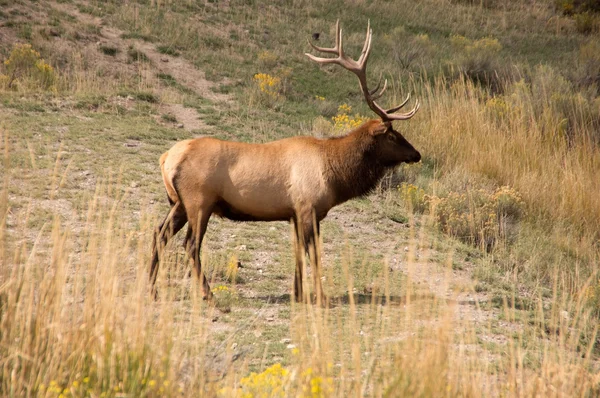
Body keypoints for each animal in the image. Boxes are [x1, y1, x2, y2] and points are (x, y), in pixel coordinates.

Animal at [151, 20, 422, 304]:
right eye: (392, 135)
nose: (416, 154)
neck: (335, 175)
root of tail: (166, 158)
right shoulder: (307, 207)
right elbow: (314, 253)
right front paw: (320, 298)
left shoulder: (294, 213)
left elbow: (297, 253)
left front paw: (298, 293)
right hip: (199, 200)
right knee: (190, 244)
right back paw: (208, 295)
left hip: (178, 202)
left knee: (159, 235)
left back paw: (151, 288)